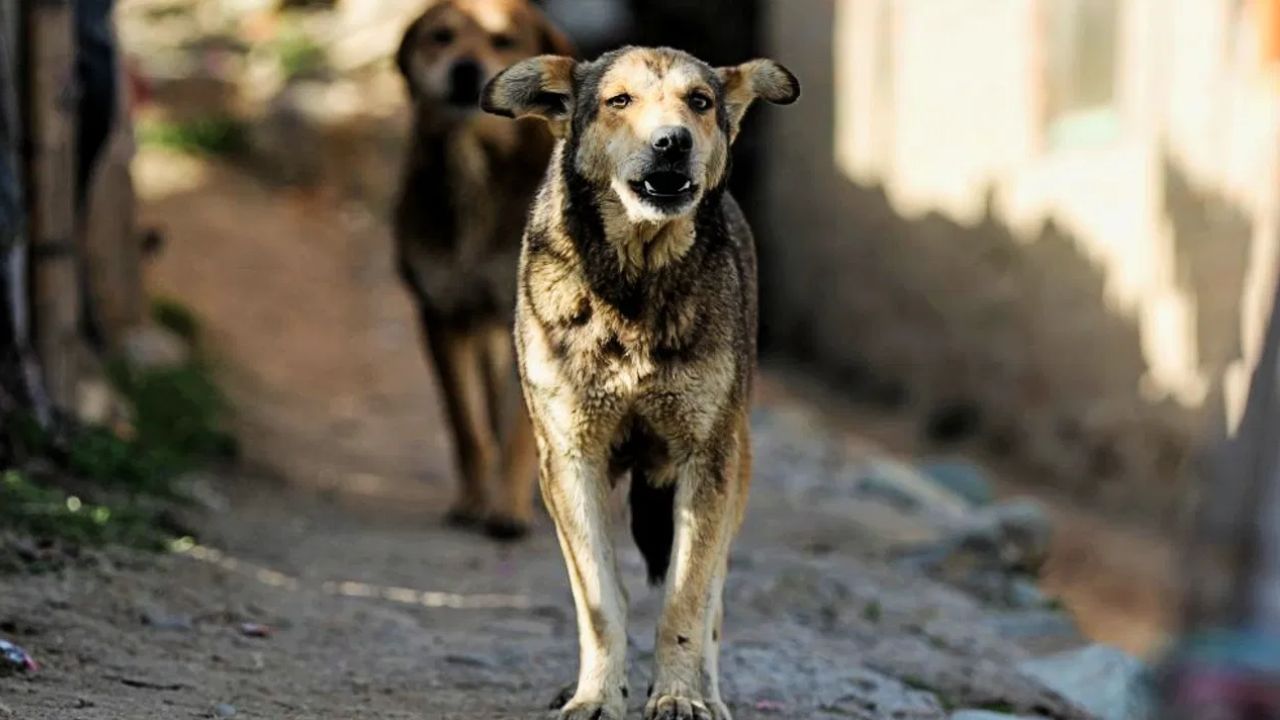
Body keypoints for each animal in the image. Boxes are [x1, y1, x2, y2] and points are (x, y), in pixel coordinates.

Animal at [389, 0, 570, 538]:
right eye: (441, 37)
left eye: (503, 41)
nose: (466, 69)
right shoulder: (441, 313)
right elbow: (465, 425)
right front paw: (473, 500)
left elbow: (517, 431)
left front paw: (508, 509)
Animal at [481, 47, 793, 712]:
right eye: (619, 101)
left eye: (699, 101)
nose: (672, 142)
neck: (635, 287)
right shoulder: (570, 460)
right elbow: (601, 602)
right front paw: (597, 697)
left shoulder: (707, 459)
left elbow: (686, 599)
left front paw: (677, 697)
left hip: (737, 465)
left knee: (714, 601)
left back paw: (710, 694)